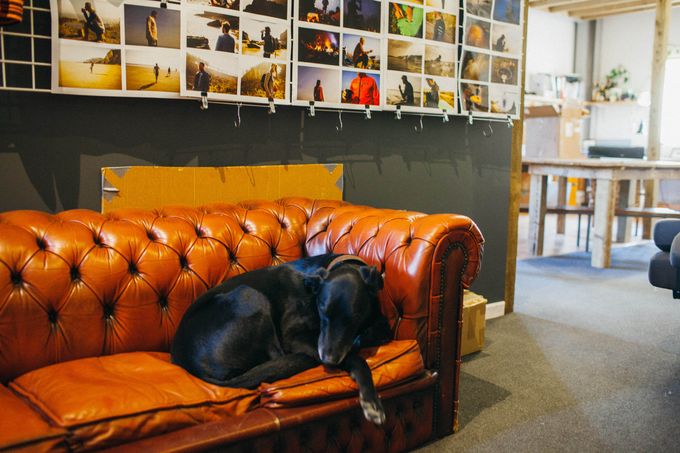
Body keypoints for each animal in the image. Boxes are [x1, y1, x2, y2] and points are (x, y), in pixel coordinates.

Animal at [171, 254, 393, 424]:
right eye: (322, 310)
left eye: (354, 317)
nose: (329, 360)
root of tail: (188, 363)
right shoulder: (293, 337)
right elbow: (356, 357)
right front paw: (371, 402)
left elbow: (382, 329)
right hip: (249, 295)